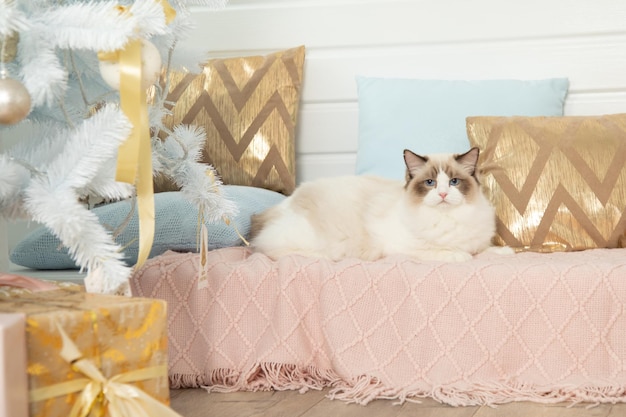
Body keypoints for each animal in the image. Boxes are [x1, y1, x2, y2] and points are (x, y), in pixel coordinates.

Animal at [251, 148, 500, 262]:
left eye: (454, 182)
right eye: (430, 183)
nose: (443, 193)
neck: (448, 218)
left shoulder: (479, 243)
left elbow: (486, 250)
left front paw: (500, 251)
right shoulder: (403, 248)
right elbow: (452, 252)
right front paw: (461, 255)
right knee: (270, 249)